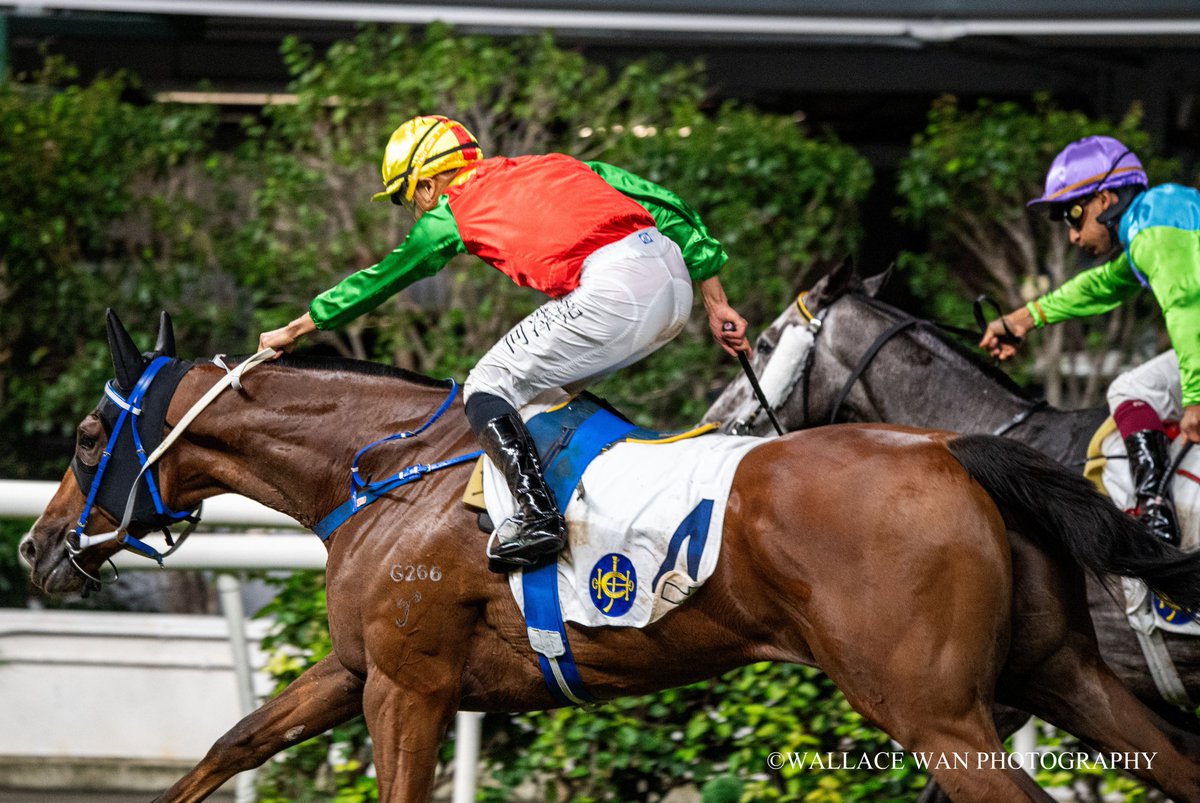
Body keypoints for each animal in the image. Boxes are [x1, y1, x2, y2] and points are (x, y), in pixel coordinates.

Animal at [21, 312, 1200, 801]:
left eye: (83, 437)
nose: (37, 546)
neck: (389, 471)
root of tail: (951, 446)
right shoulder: (363, 666)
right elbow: (232, 741)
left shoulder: (408, 684)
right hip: (1059, 673)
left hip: (935, 709)